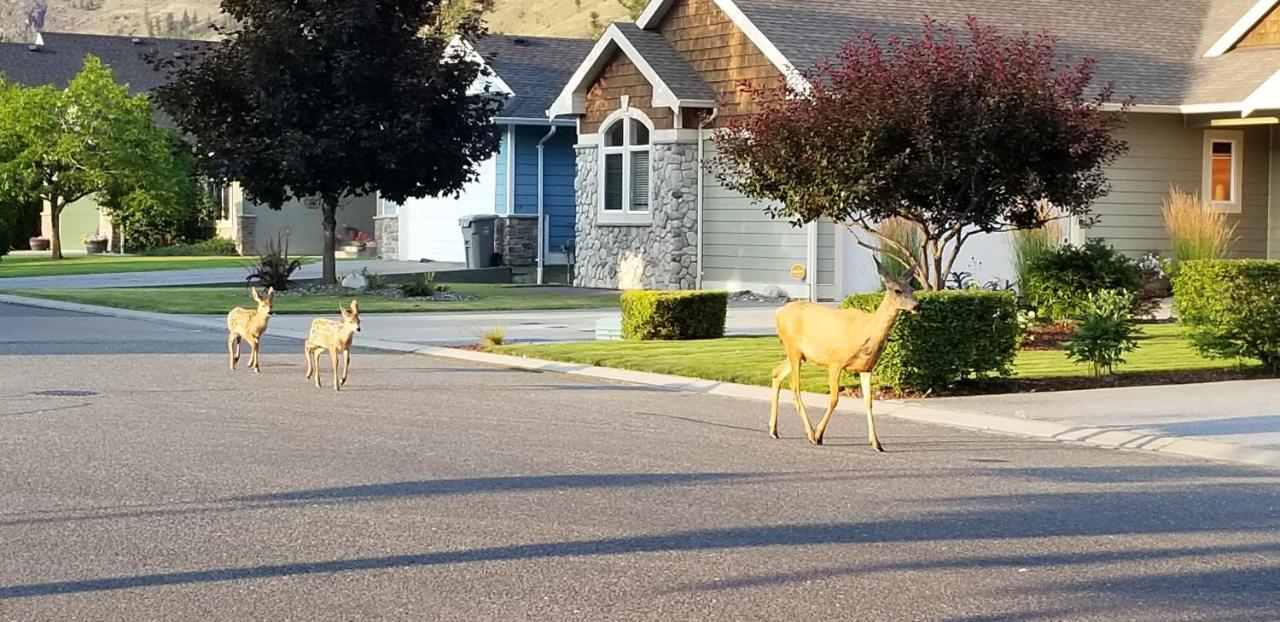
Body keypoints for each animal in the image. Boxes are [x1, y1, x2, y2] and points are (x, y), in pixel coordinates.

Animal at [768, 257, 921, 453]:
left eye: (912, 289)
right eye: (897, 290)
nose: (917, 305)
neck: (866, 332)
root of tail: (778, 313)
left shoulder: (867, 368)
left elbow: (868, 402)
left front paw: (876, 443)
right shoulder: (835, 361)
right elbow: (834, 399)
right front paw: (819, 435)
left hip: (799, 354)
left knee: (776, 373)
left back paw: (773, 430)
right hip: (793, 348)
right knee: (794, 386)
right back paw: (810, 433)